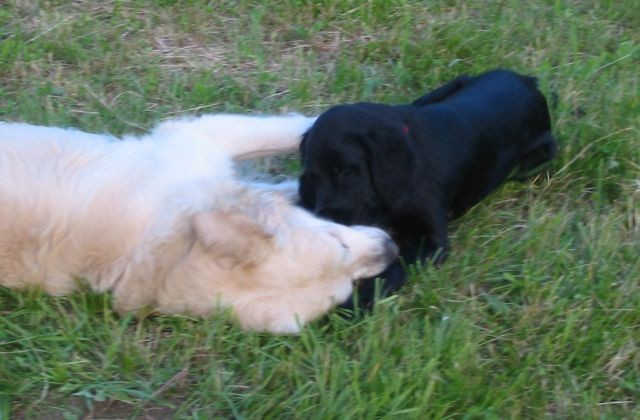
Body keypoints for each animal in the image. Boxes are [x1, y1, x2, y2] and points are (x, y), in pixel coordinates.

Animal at [299, 69, 557, 308]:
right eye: (313, 176)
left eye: (344, 170)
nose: (325, 218)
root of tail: (527, 80)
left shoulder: (433, 242)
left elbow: (395, 268)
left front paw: (355, 304)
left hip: (542, 155)